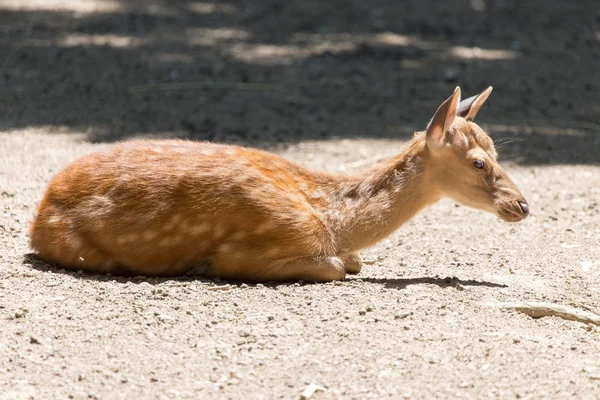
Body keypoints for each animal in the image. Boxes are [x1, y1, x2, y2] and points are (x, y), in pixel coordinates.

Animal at [30, 86, 528, 282]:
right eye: (479, 163)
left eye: (498, 151)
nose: (523, 205)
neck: (333, 220)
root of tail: (38, 214)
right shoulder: (254, 247)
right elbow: (337, 267)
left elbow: (353, 261)